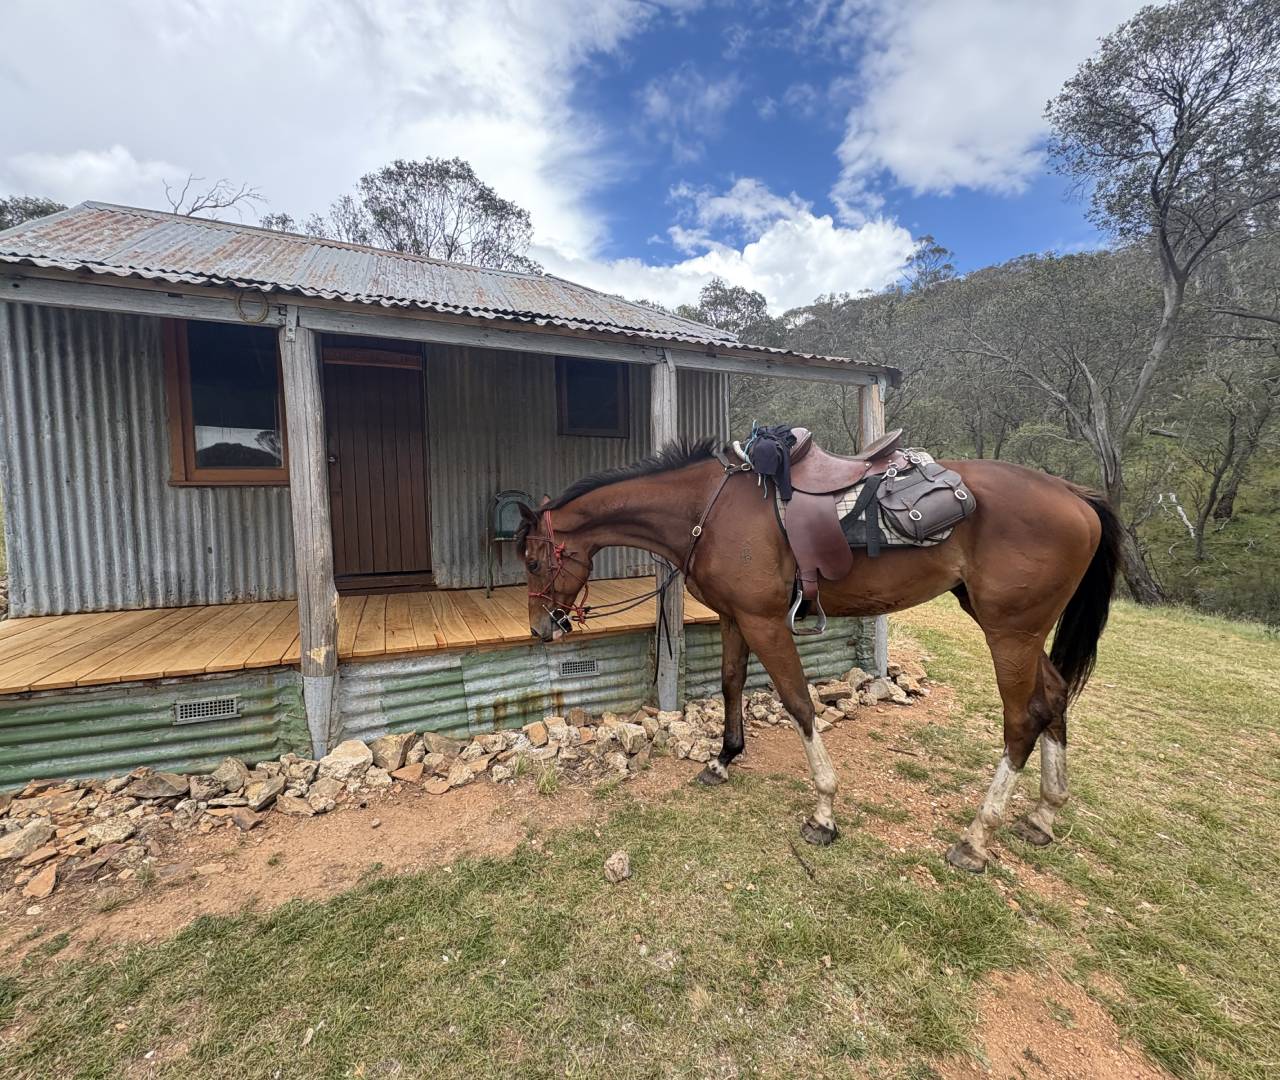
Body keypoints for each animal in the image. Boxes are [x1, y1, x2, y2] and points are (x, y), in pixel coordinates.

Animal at [516, 438, 1120, 872]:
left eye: (532, 560)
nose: (541, 628)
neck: (710, 510)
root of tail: (1075, 495)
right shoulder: (736, 618)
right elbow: (731, 682)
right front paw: (722, 758)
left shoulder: (765, 622)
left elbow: (799, 703)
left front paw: (824, 811)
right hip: (1013, 627)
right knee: (1054, 698)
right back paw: (1043, 813)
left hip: (1010, 632)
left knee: (1022, 720)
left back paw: (976, 837)